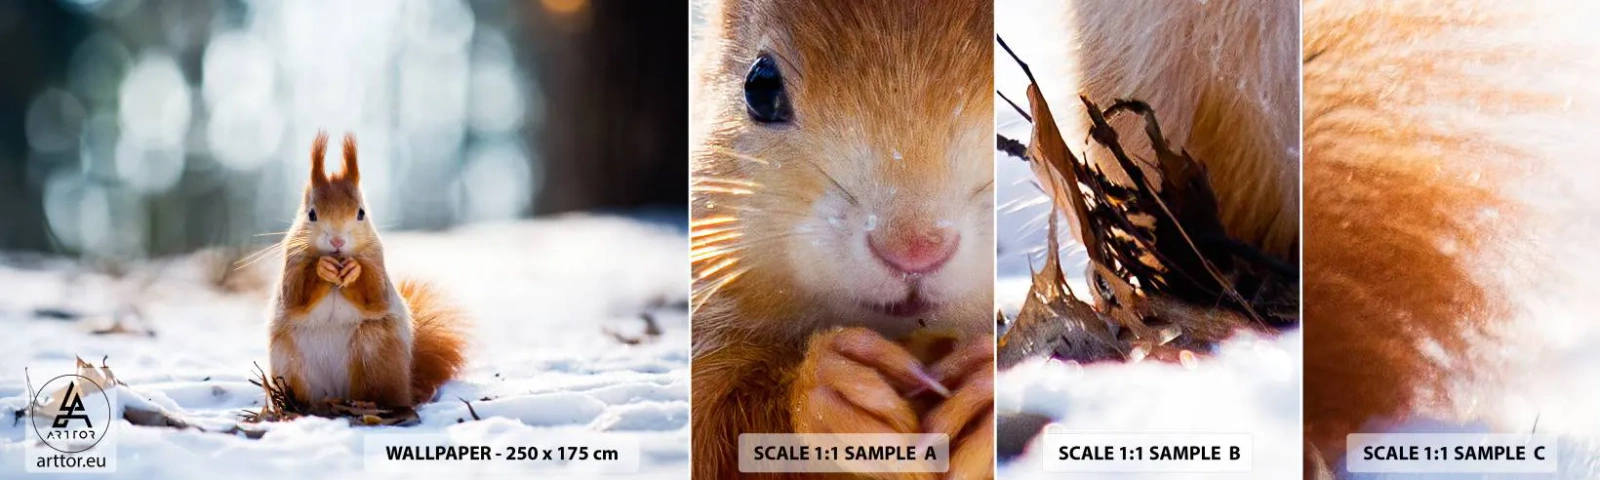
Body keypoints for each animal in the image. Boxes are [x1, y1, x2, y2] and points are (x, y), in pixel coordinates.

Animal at [268, 132, 468, 411]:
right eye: (311, 214)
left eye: (361, 213)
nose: (337, 241)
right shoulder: (292, 264)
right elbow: (295, 296)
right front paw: (322, 268)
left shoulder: (377, 264)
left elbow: (375, 296)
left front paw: (354, 270)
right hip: (290, 363)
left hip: (373, 355)